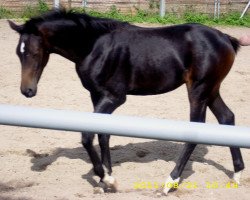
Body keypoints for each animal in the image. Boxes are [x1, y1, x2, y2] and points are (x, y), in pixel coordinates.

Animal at [9, 10, 244, 195]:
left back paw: (170, 182)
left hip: (199, 90)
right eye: (18, 53)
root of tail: (225, 37)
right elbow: (103, 133)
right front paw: (106, 179)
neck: (94, 46)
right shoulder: (96, 95)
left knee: (196, 129)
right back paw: (237, 173)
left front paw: (107, 178)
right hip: (211, 90)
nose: (27, 91)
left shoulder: (115, 97)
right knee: (227, 117)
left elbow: (87, 135)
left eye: (34, 52)